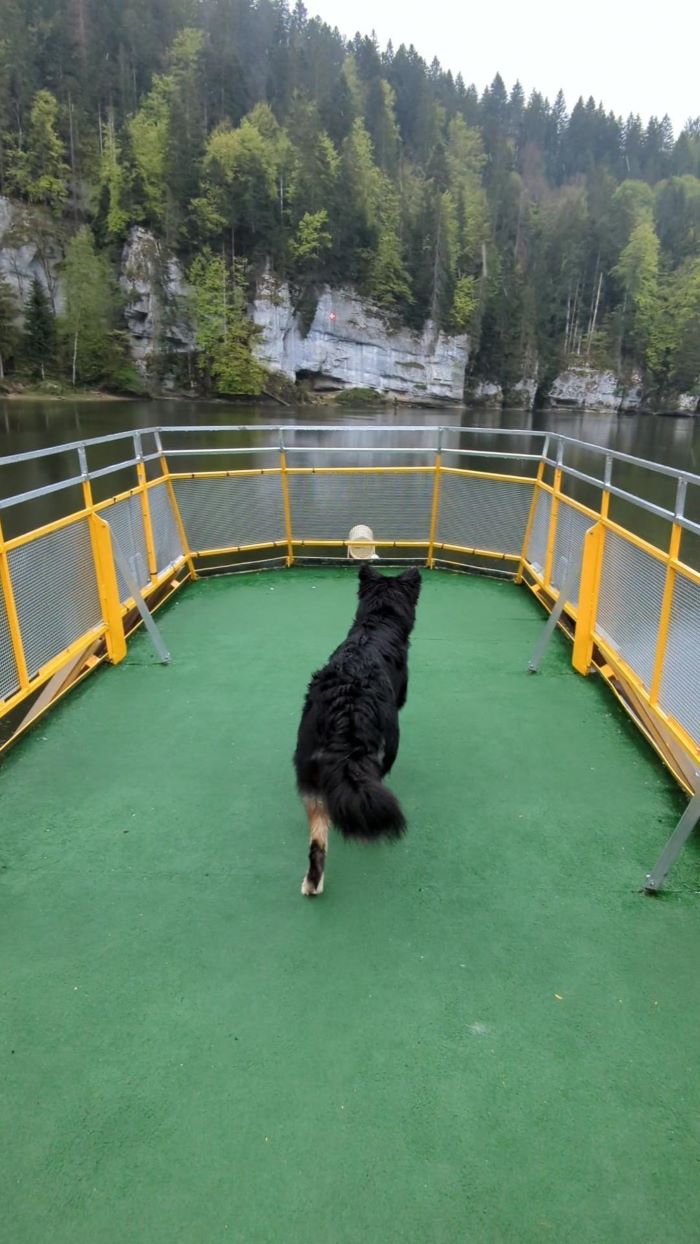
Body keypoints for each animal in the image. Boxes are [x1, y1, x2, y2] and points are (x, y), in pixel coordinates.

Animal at [294, 569, 422, 900]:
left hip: (308, 770)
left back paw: (312, 883)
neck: (378, 621)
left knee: (318, 841)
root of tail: (347, 704)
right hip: (387, 744)